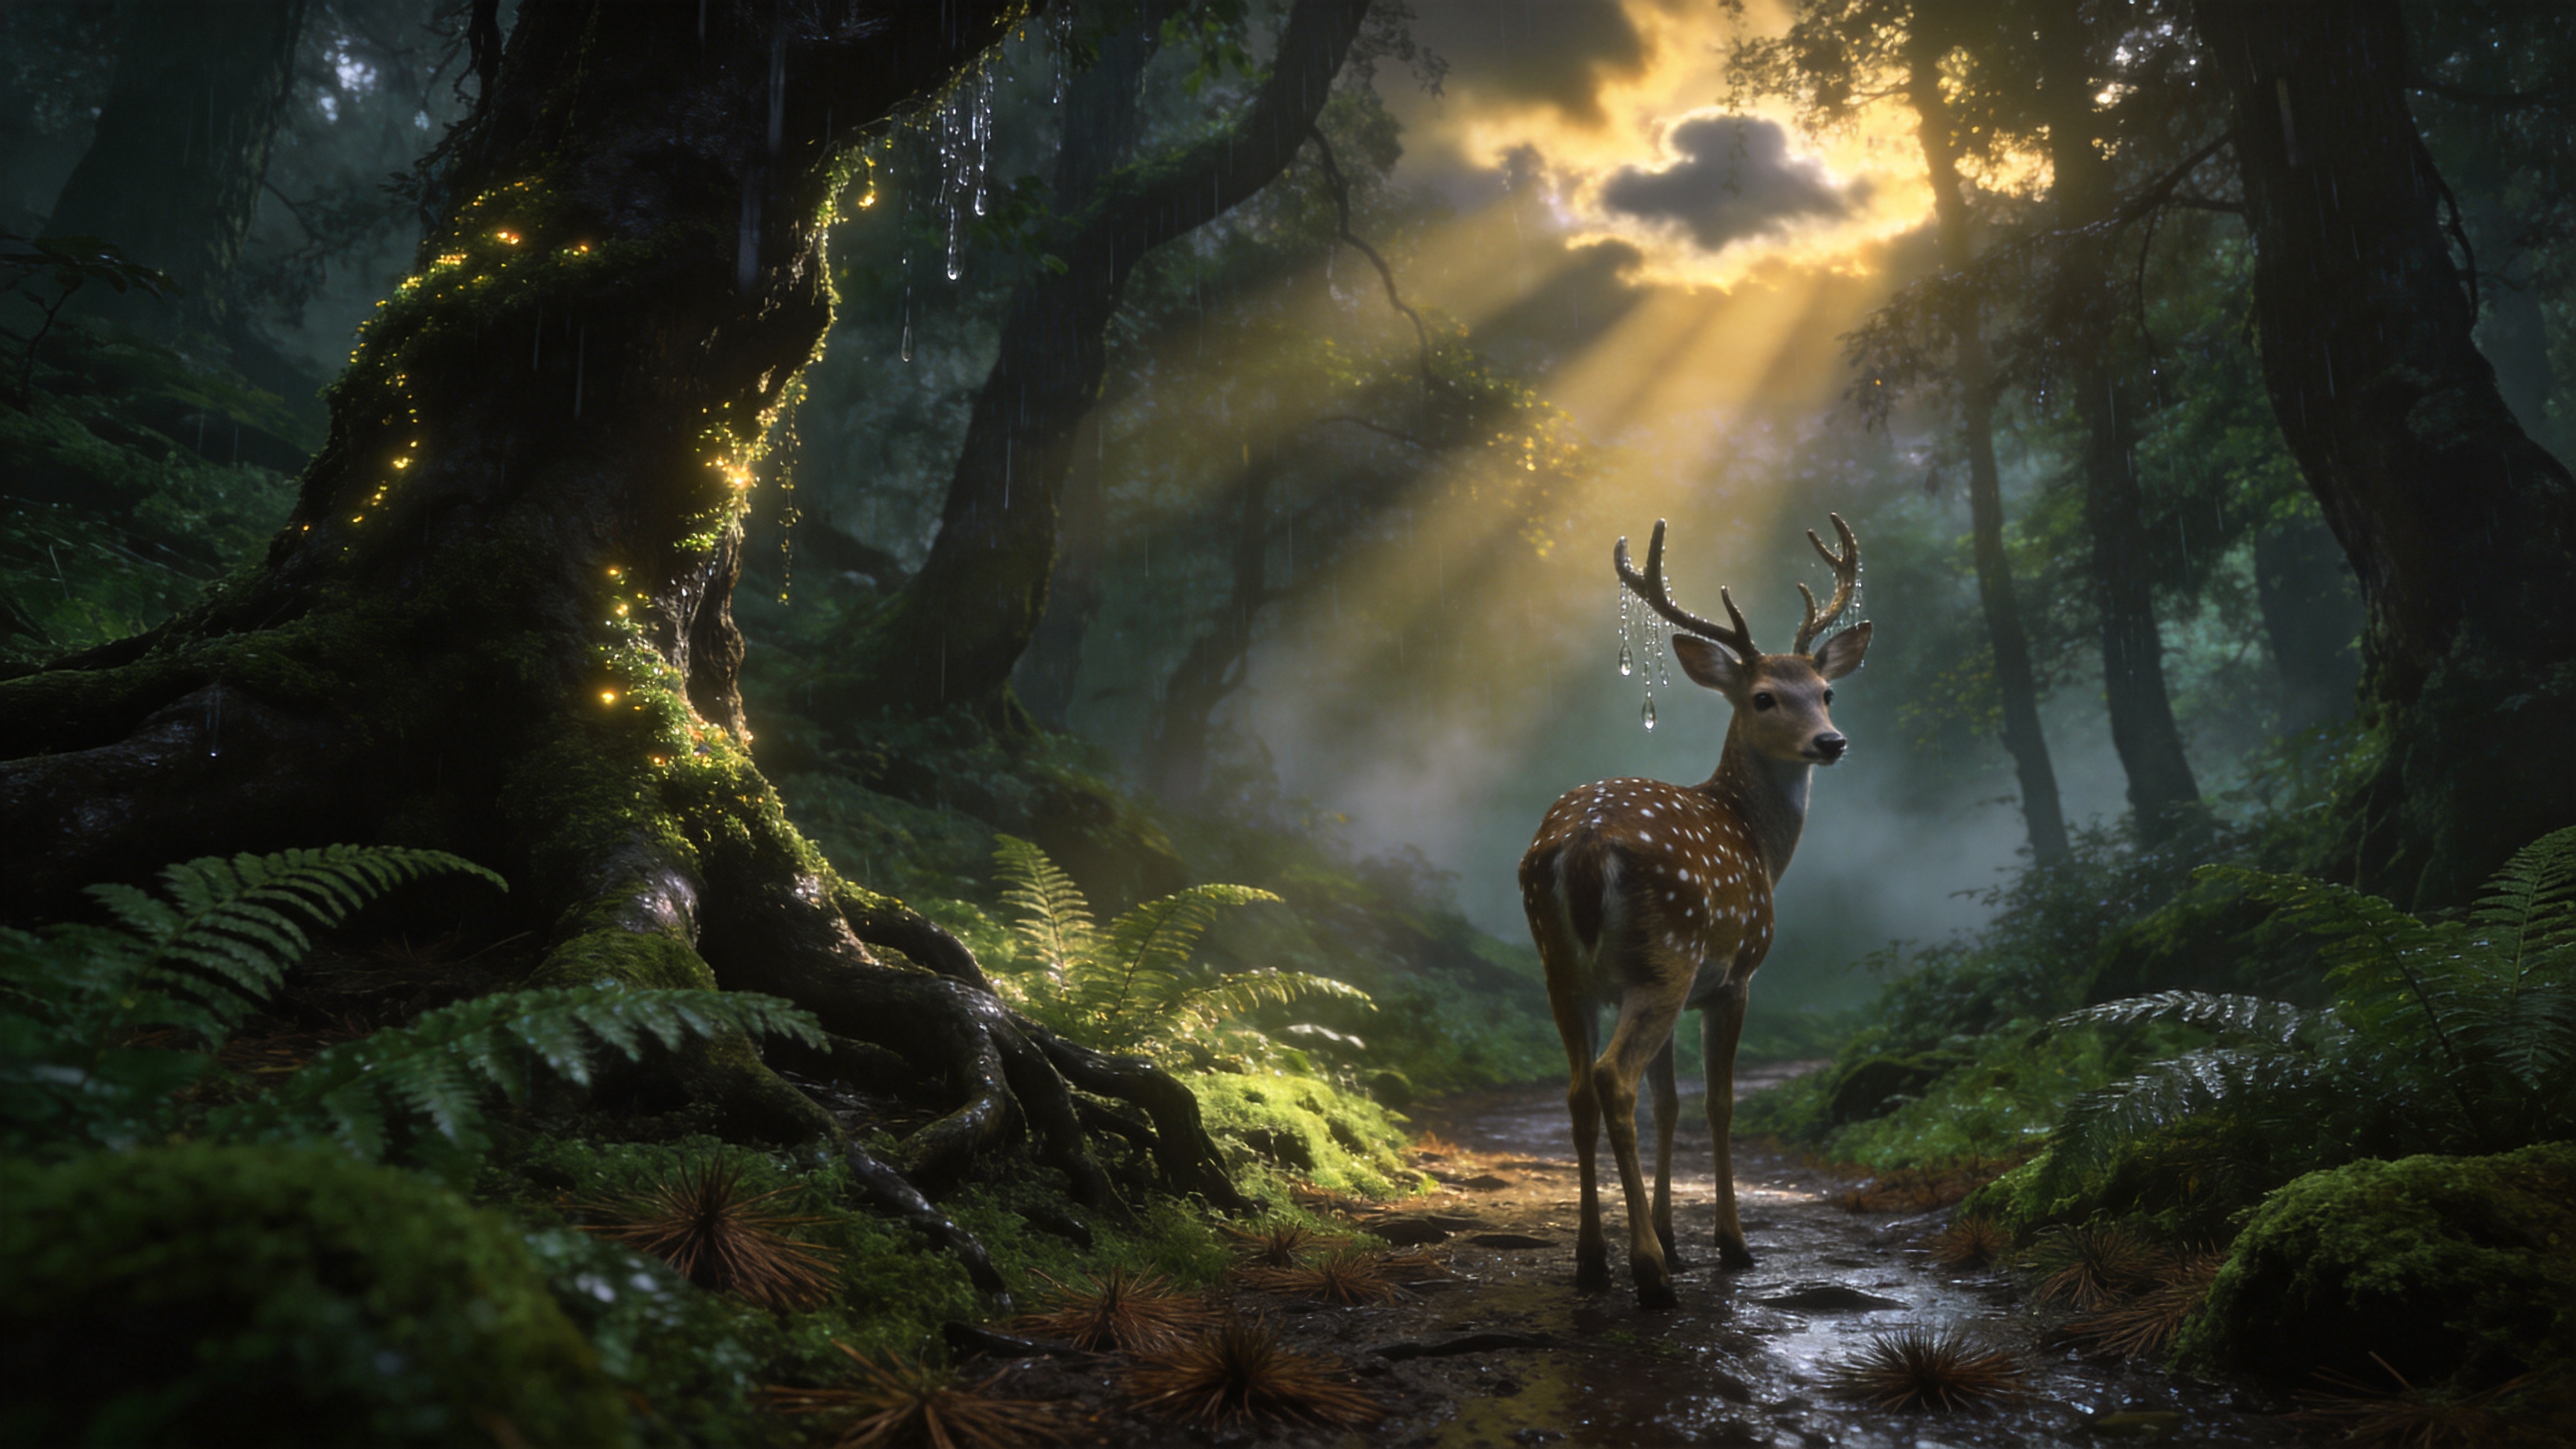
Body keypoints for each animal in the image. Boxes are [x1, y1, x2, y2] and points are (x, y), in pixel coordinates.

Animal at [1519, 515, 1870, 1309]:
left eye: (1826, 692)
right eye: (1764, 697)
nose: (1831, 743)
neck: (1756, 837)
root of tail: (1584, 845)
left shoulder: (1666, 989)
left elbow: (1671, 1103)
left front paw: (1674, 1238)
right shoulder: (1732, 977)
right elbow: (1717, 1103)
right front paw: (1724, 1244)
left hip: (1565, 969)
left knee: (1580, 1090)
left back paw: (1593, 1261)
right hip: (1665, 955)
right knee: (1613, 1080)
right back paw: (1646, 1275)